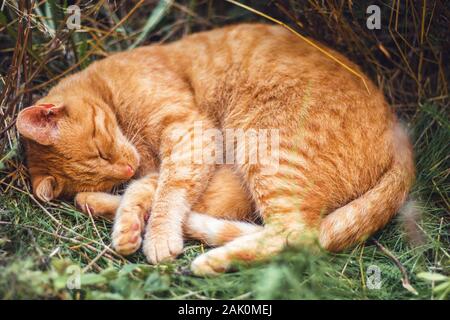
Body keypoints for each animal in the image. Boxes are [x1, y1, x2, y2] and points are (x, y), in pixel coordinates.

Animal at [14, 24, 414, 276]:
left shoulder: (192, 134)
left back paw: (210, 261)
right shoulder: (177, 156)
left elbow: (167, 193)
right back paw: (99, 206)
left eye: (100, 149)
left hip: (265, 151)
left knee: (298, 235)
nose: (125, 170)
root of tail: (400, 134)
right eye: (101, 167)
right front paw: (128, 225)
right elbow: (147, 189)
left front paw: (156, 236)